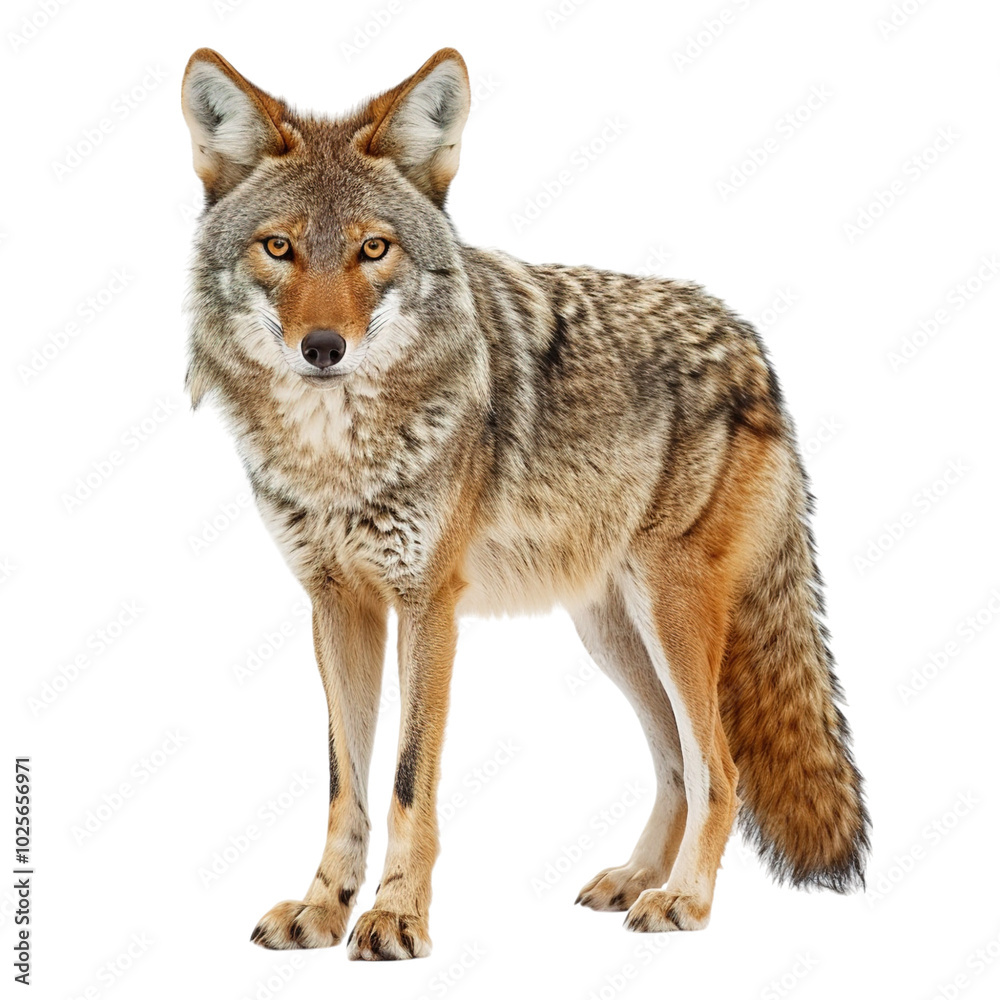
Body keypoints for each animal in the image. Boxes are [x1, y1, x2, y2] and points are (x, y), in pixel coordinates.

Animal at [181, 47, 869, 960]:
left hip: (672, 615)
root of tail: (753, 346)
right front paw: (323, 909)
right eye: (279, 247)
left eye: (373, 249)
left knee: (717, 767)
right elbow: (344, 786)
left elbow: (407, 784)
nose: (322, 349)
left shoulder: (428, 605)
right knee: (676, 765)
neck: (337, 456)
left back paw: (684, 900)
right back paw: (634, 879)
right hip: (612, 633)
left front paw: (397, 917)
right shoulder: (337, 606)